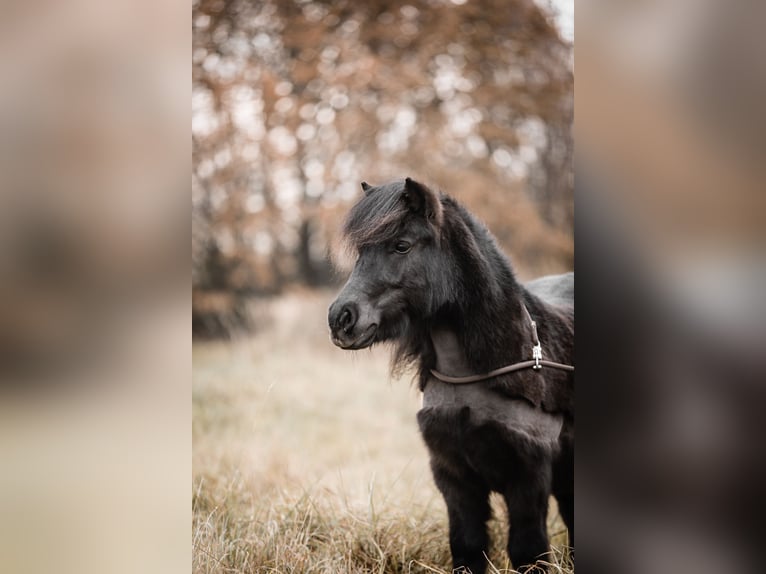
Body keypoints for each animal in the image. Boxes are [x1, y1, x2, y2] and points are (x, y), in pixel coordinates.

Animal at [330, 180, 576, 574]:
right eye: (362, 251)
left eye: (401, 245)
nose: (341, 319)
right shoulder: (455, 479)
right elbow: (467, 547)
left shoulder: (528, 479)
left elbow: (529, 552)